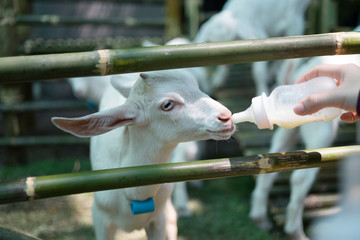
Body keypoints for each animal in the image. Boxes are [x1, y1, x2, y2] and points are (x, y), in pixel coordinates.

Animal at [249, 53, 360, 239]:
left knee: (270, 165)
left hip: (288, 129)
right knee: (300, 178)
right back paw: (296, 232)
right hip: (320, 130)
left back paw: (260, 219)